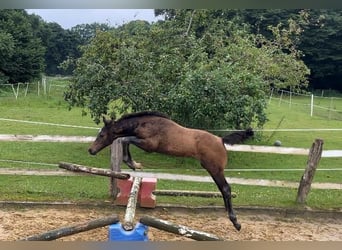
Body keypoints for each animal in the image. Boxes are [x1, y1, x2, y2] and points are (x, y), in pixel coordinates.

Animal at [89, 110, 254, 231]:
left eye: (102, 135)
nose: (91, 150)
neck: (145, 124)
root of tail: (221, 140)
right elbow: (126, 139)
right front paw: (134, 163)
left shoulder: (149, 145)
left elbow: (125, 139)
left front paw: (133, 163)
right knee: (224, 189)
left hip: (214, 169)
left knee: (226, 188)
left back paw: (235, 222)